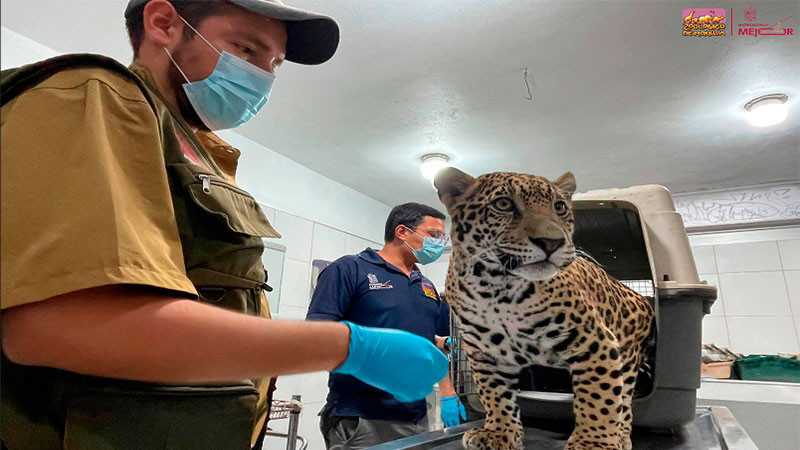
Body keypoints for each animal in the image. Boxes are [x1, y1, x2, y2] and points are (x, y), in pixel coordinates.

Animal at [433, 167, 655, 450]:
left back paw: (621, 436)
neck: (495, 286)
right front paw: (498, 432)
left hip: (627, 356)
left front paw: (592, 443)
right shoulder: (485, 352)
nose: (551, 242)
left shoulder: (595, 342)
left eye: (559, 207)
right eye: (503, 204)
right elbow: (494, 395)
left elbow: (600, 398)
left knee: (624, 402)